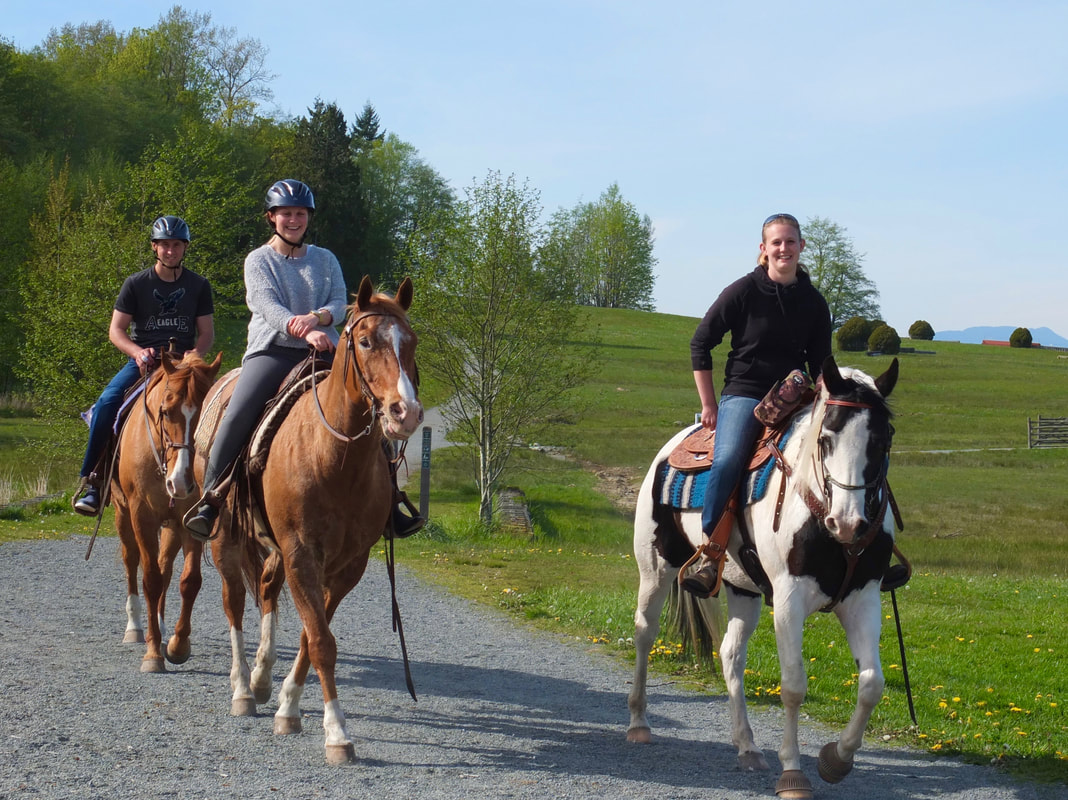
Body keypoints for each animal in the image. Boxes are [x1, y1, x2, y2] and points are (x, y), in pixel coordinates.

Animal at [111, 352, 222, 670]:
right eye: (166, 412)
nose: (181, 481)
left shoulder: (191, 520)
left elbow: (189, 581)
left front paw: (177, 644)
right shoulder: (142, 516)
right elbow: (149, 578)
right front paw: (152, 653)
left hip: (172, 524)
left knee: (166, 567)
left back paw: (158, 626)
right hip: (123, 514)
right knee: (132, 561)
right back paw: (136, 628)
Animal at [199, 277, 420, 764]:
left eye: (411, 342)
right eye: (365, 341)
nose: (406, 413)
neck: (334, 458)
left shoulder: (347, 565)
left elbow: (311, 634)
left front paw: (288, 705)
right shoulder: (301, 553)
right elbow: (321, 641)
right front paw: (336, 732)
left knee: (266, 589)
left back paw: (262, 679)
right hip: (225, 539)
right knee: (234, 603)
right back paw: (243, 688)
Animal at [627, 356, 897, 798]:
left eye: (882, 440)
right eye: (826, 438)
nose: (847, 523)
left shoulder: (863, 597)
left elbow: (872, 684)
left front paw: (836, 759)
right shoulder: (789, 599)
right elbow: (793, 686)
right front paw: (793, 772)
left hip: (743, 589)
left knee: (731, 655)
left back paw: (748, 747)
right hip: (655, 569)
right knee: (645, 633)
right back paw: (638, 723)